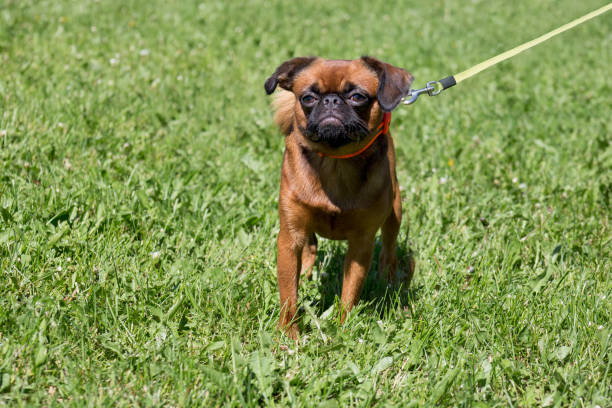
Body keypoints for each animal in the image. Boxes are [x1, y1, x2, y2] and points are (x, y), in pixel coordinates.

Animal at [264, 56, 416, 338]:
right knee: (310, 247)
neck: (335, 162)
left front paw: (342, 328)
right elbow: (289, 294)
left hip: (395, 211)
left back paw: (387, 282)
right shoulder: (289, 238)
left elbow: (349, 293)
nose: (332, 101)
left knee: (389, 250)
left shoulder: (361, 244)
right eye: (308, 98)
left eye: (357, 97)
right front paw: (289, 334)